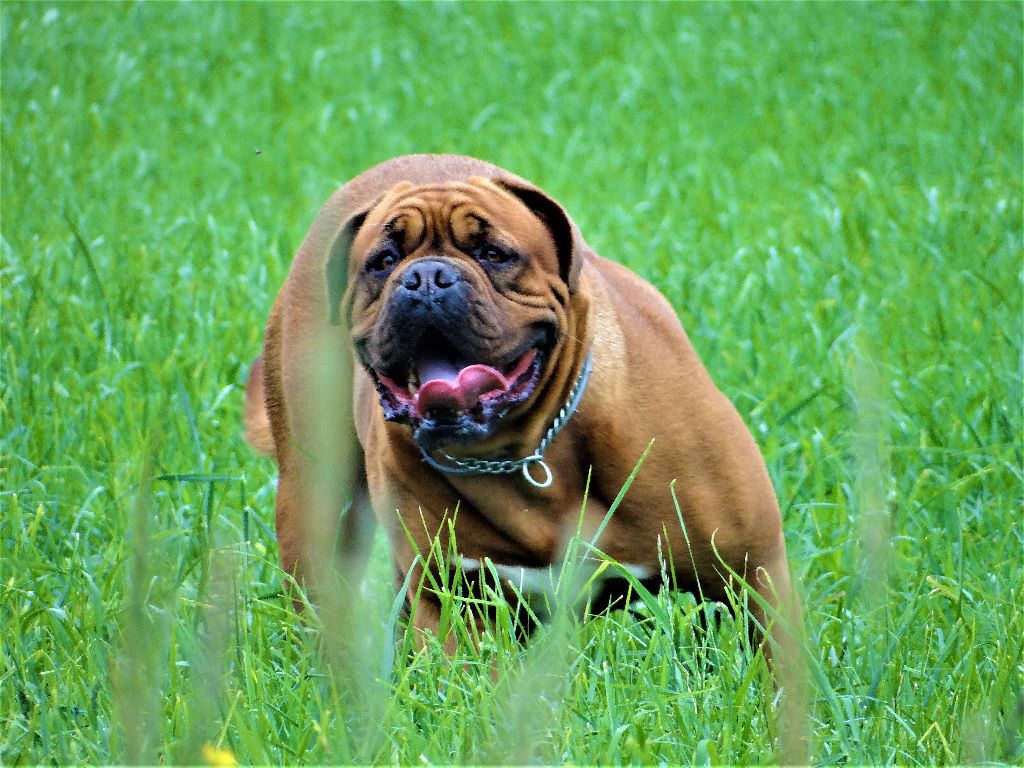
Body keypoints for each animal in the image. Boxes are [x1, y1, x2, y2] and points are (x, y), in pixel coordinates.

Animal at [241, 153, 798, 651]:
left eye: (494, 254)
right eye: (383, 262)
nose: (426, 277)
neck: (528, 446)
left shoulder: (755, 574)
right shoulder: (453, 600)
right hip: (316, 505)